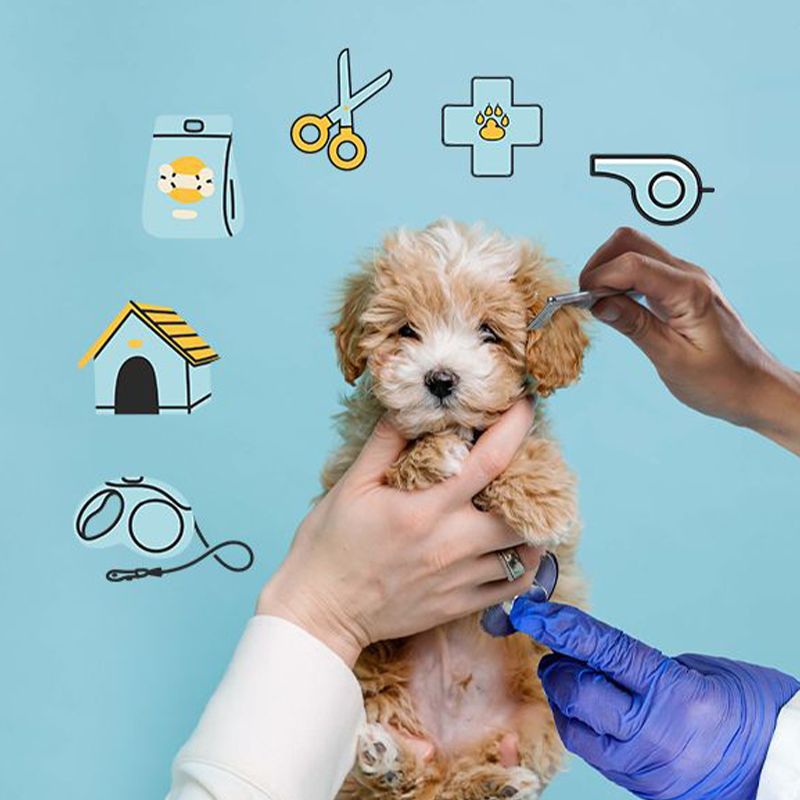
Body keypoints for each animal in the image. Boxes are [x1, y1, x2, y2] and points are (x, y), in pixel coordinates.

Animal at [322, 220, 592, 800]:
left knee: (462, 776)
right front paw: (434, 455)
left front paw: (543, 498)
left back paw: (497, 782)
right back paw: (387, 758)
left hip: (535, 716)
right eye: (406, 330)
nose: (440, 379)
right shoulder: (358, 454)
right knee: (411, 778)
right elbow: (402, 461)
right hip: (369, 677)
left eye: (489, 332)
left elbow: (522, 449)